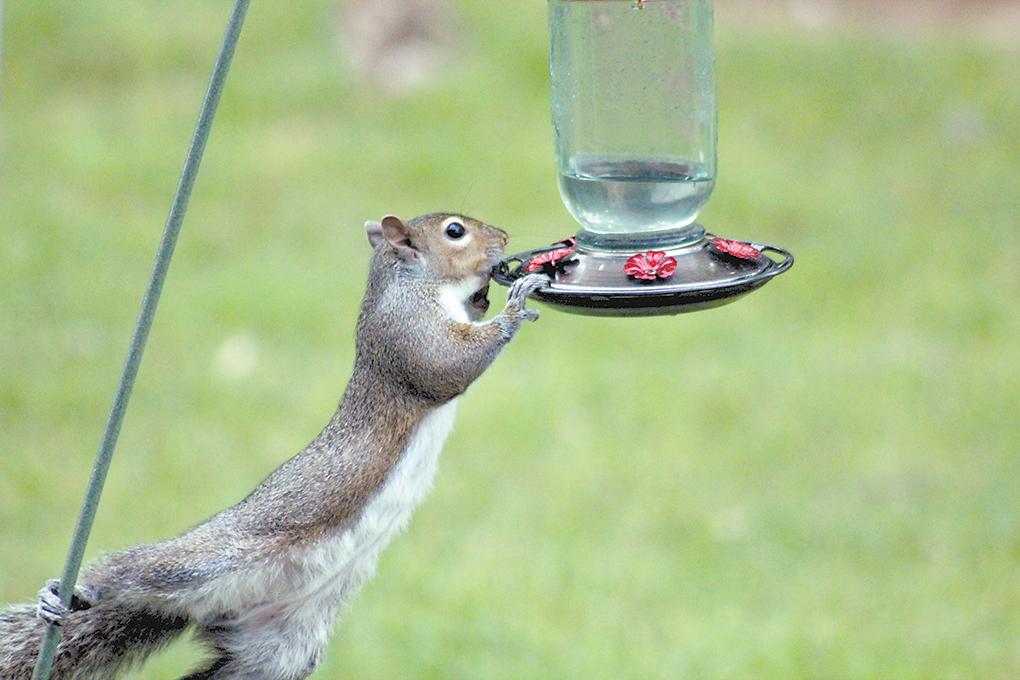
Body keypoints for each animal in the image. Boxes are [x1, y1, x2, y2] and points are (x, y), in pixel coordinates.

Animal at [0, 213, 547, 680]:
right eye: (455, 231)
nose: (503, 238)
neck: (412, 284)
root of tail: (218, 607)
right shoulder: (407, 334)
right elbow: (447, 366)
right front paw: (514, 305)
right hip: (214, 559)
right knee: (140, 571)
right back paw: (75, 593)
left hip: (279, 650)